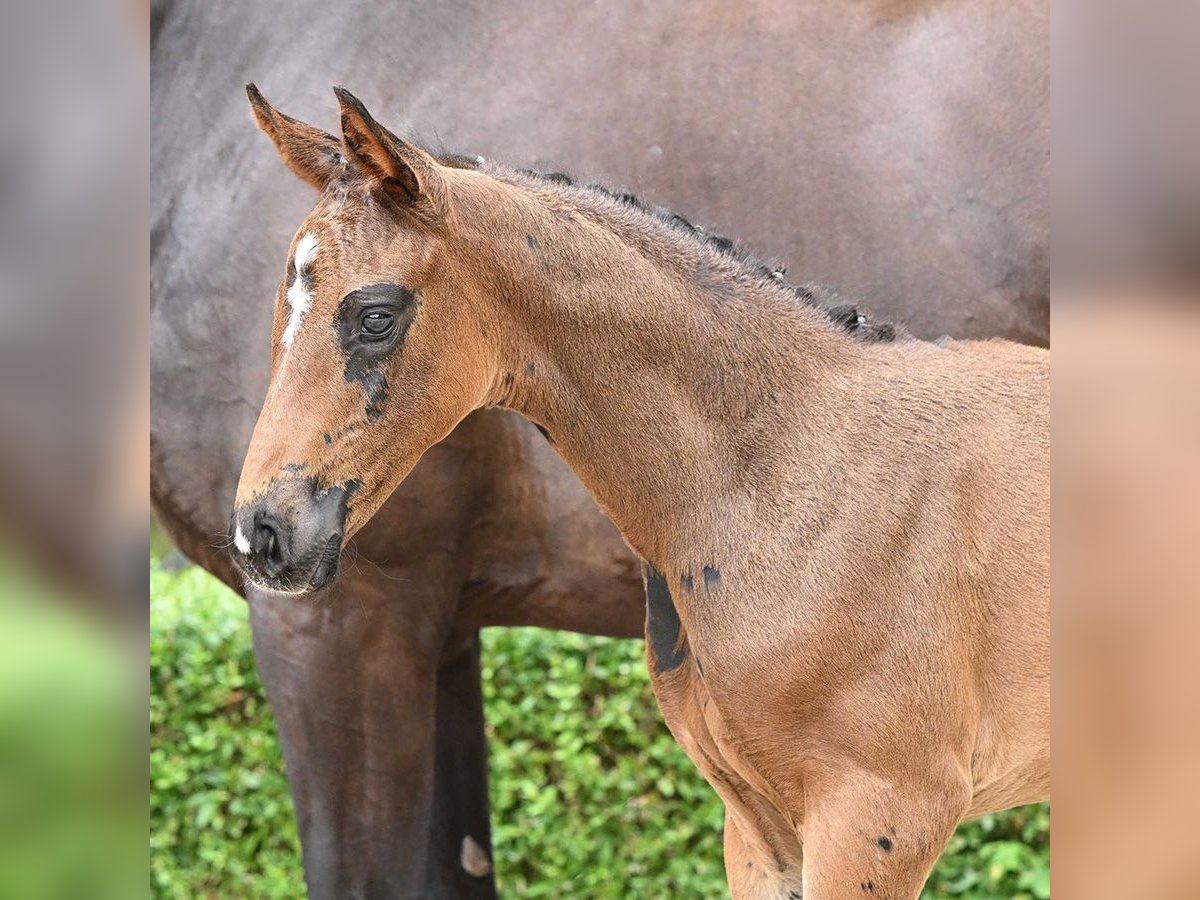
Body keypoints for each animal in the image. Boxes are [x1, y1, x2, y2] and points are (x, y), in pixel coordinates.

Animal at [150, 1, 1046, 897]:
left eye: (376, 315)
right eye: (280, 303)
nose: (263, 534)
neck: (793, 470)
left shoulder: (879, 816)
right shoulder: (757, 830)